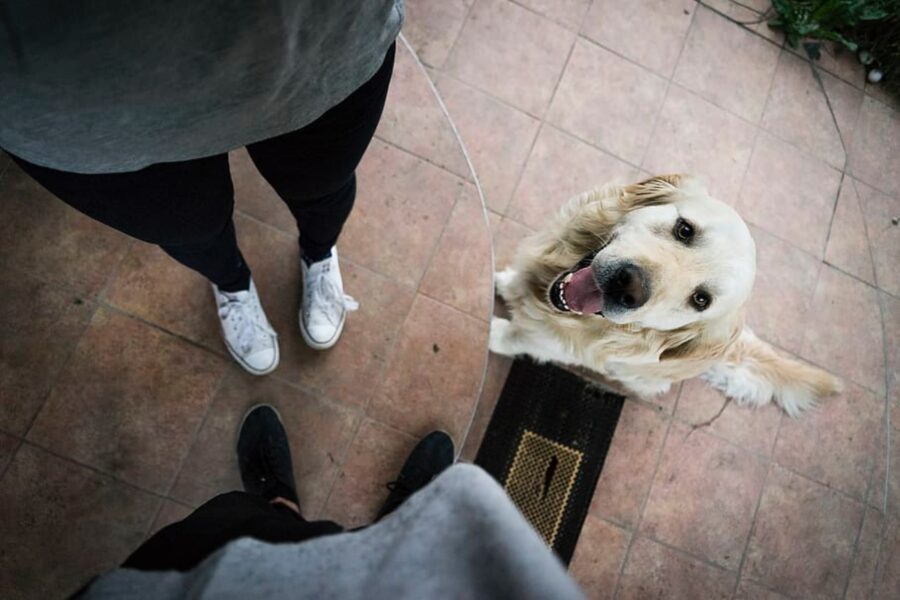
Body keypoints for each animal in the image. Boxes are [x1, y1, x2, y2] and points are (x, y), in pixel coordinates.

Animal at [488, 175, 840, 418]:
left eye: (700, 300)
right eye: (685, 230)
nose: (627, 287)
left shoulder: (546, 345)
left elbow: (514, 338)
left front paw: (493, 331)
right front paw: (504, 283)